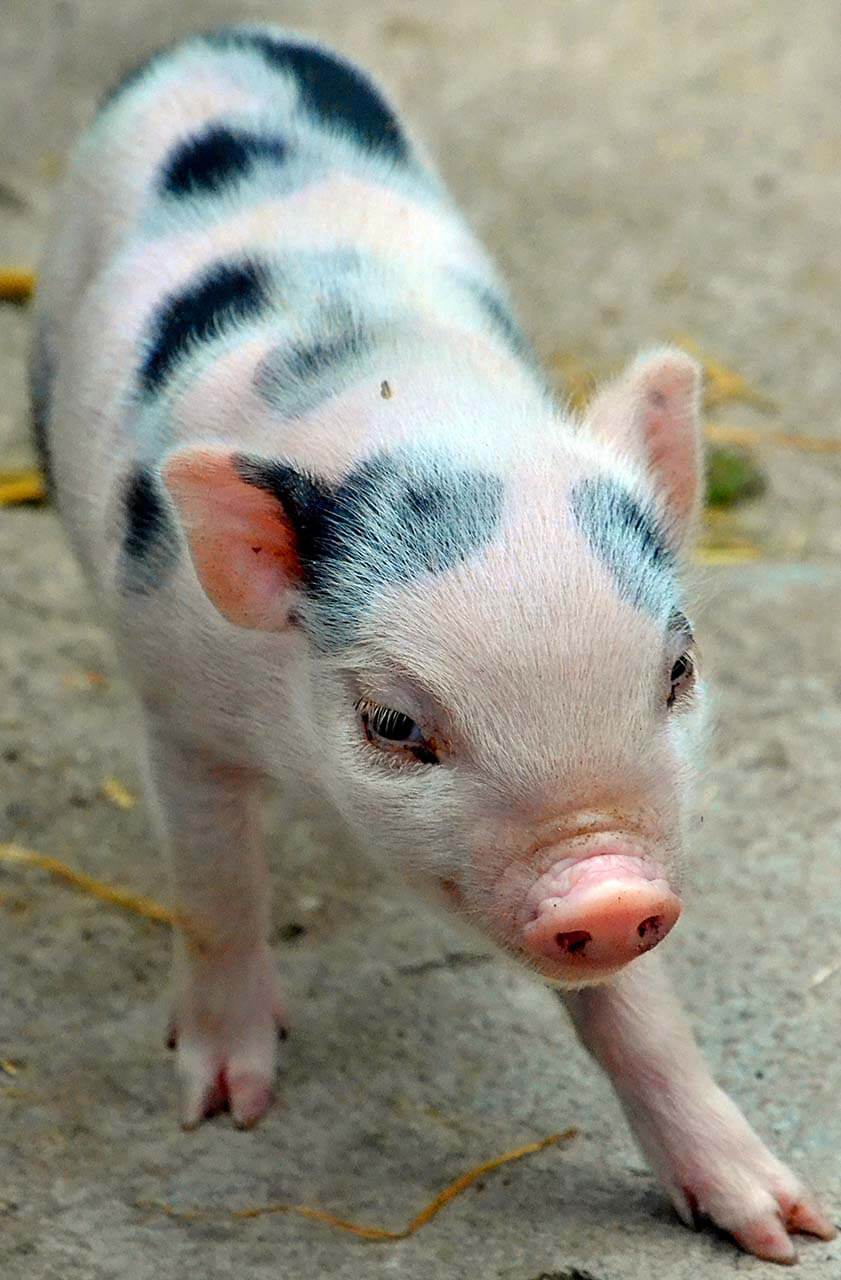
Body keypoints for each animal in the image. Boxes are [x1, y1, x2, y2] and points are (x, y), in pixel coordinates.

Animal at [31, 24, 834, 1264]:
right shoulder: (177, 699)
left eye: (677, 671)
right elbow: (214, 887)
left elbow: (635, 1011)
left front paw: (784, 1227)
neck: (408, 411)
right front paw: (223, 1105)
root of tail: (224, 35)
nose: (608, 892)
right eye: (394, 723)